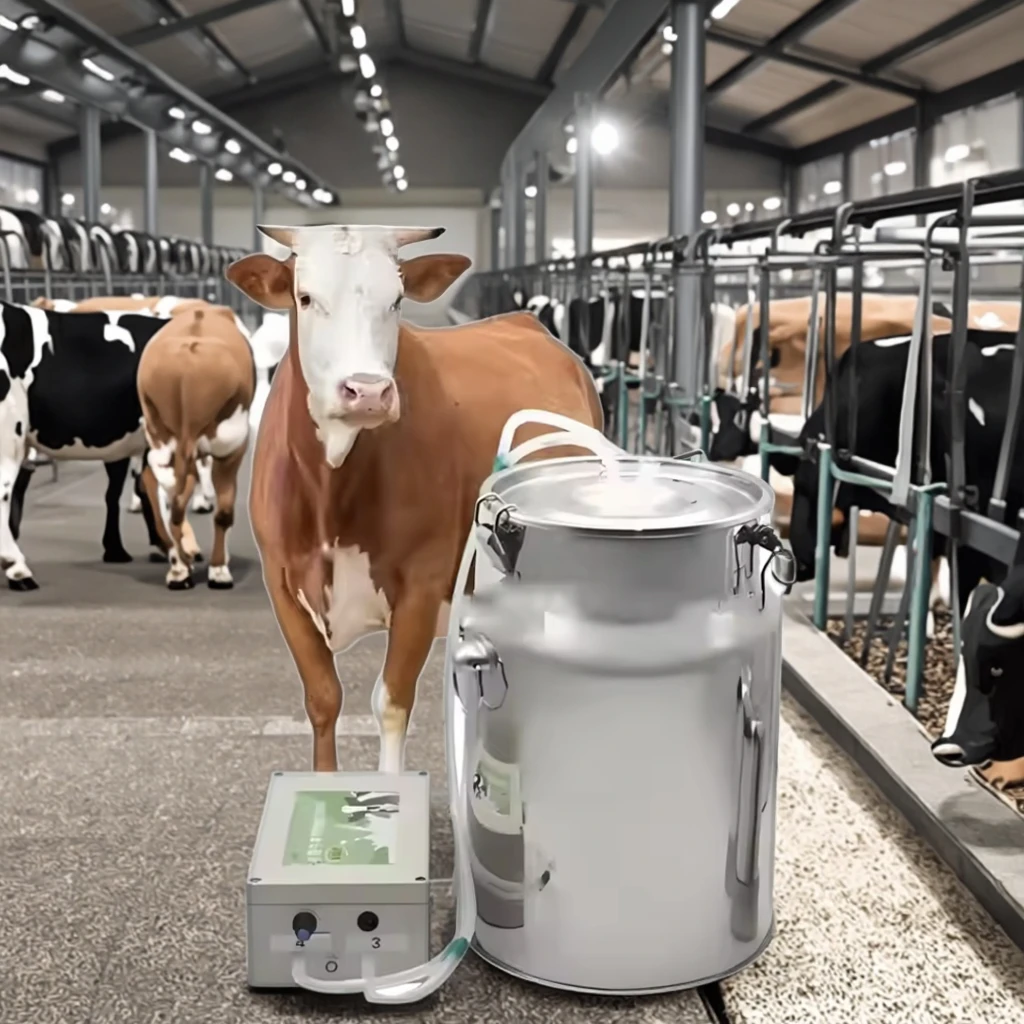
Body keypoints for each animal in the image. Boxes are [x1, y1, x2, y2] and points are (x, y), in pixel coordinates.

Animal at [137, 305, 255, 590]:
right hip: (226, 442)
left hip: (160, 432)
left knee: (159, 486)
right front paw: (219, 568)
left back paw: (179, 567)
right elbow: (224, 508)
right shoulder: (232, 449)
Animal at [226, 223, 603, 772]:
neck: (330, 494)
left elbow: (390, 701)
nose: (367, 391)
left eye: (397, 300)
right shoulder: (282, 583)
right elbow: (323, 698)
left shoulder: (421, 587)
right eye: (306, 297)